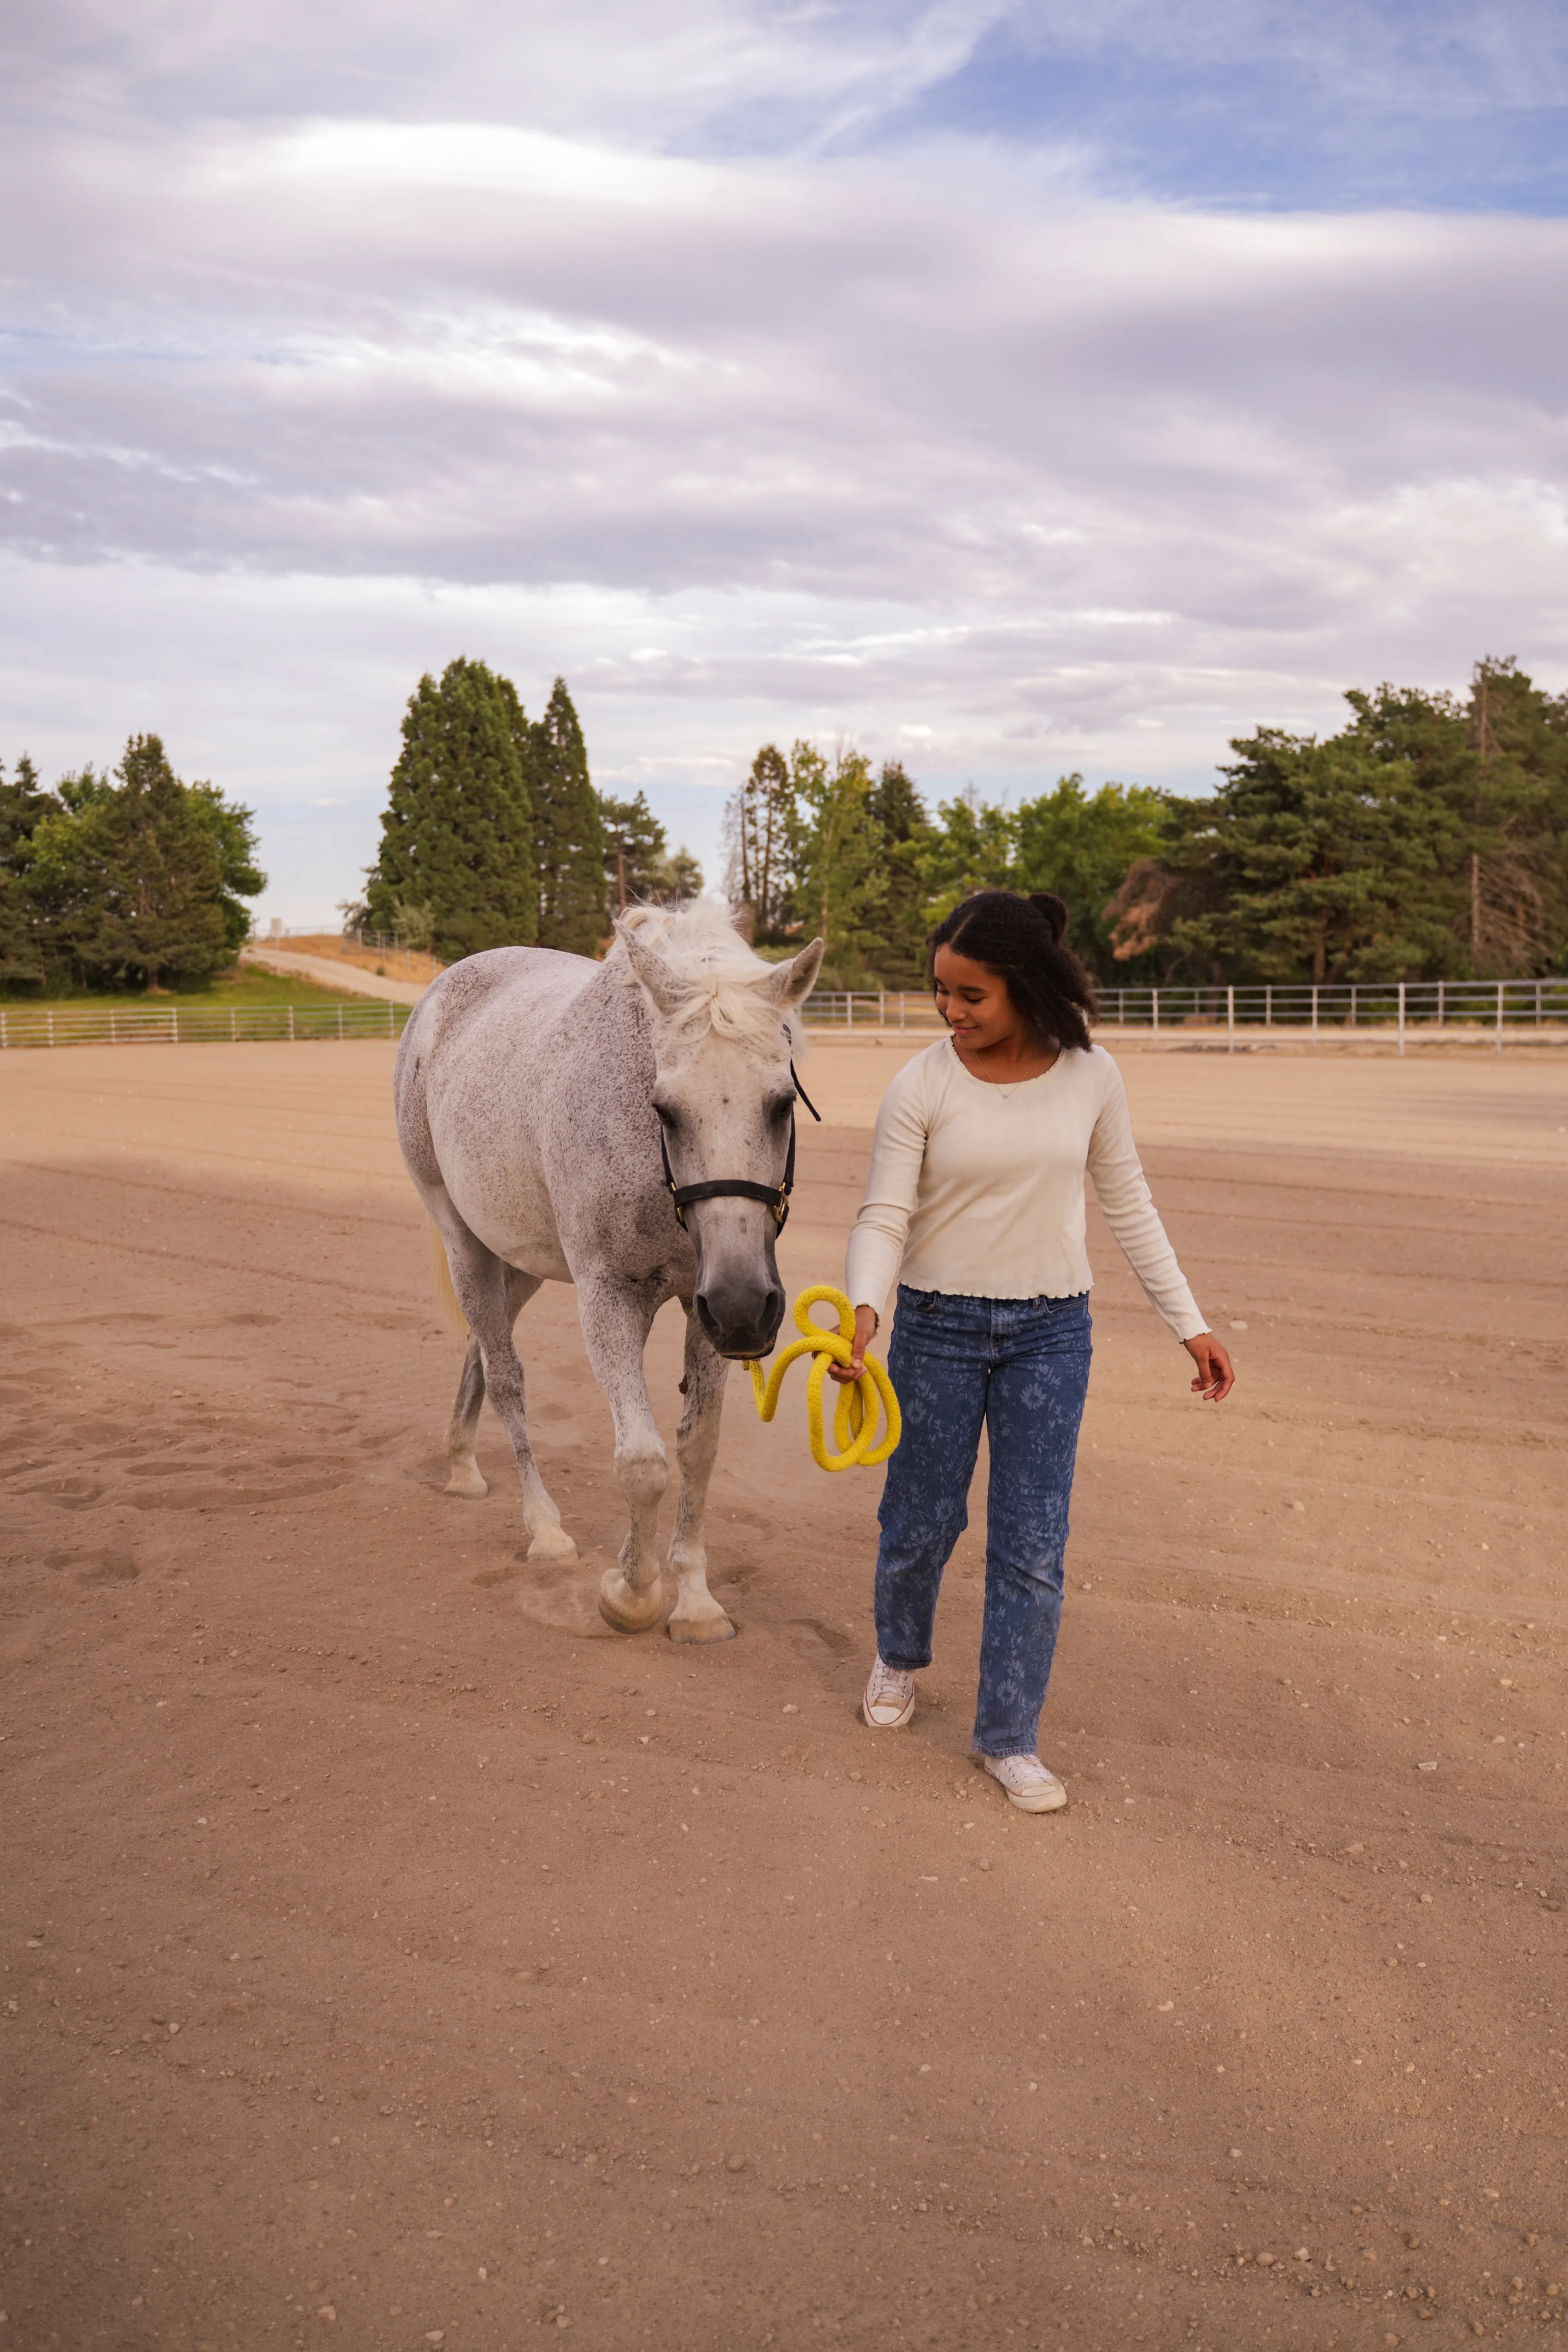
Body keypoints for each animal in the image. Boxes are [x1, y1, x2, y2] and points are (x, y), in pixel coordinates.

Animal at [393, 902, 825, 1644]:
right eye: (665, 1109)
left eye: (781, 1104)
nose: (746, 1306)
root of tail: (442, 991)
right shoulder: (608, 1297)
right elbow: (643, 1462)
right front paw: (631, 1593)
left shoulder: (704, 1308)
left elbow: (697, 1447)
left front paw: (695, 1601)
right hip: (463, 1241)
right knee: (506, 1377)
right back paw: (543, 1529)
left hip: (523, 1260)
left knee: (483, 1346)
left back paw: (461, 1461)